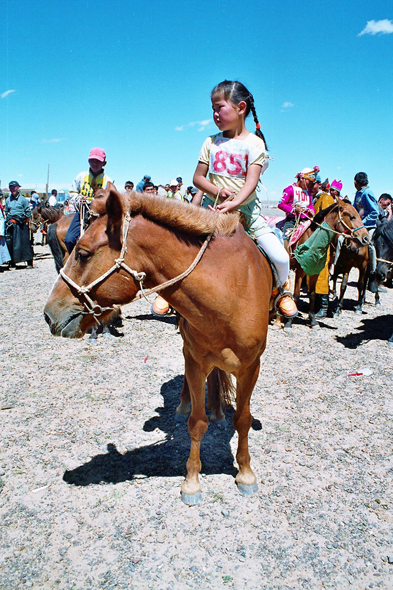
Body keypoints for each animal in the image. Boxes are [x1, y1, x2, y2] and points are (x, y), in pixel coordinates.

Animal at [44, 187, 272, 506]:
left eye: (82, 253)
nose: (48, 313)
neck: (231, 289)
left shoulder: (251, 367)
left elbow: (242, 419)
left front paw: (246, 474)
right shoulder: (196, 360)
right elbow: (196, 422)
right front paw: (192, 482)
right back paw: (187, 404)